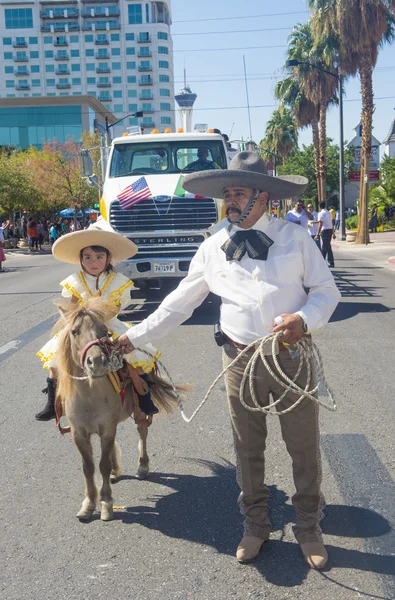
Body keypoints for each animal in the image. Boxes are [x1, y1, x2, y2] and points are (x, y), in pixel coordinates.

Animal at [54, 298, 183, 520]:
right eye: (74, 331)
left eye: (104, 331)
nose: (97, 362)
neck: (89, 397)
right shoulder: (79, 433)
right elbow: (88, 467)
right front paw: (88, 505)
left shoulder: (107, 428)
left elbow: (102, 465)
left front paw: (106, 503)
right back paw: (116, 472)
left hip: (139, 411)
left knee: (142, 432)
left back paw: (142, 466)